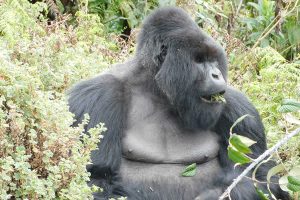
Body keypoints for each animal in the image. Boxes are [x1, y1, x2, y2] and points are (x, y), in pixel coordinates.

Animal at [68, 7, 288, 199]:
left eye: (213, 60)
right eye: (199, 60)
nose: (217, 75)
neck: (158, 91)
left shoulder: (239, 109)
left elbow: (258, 176)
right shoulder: (98, 97)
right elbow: (95, 178)